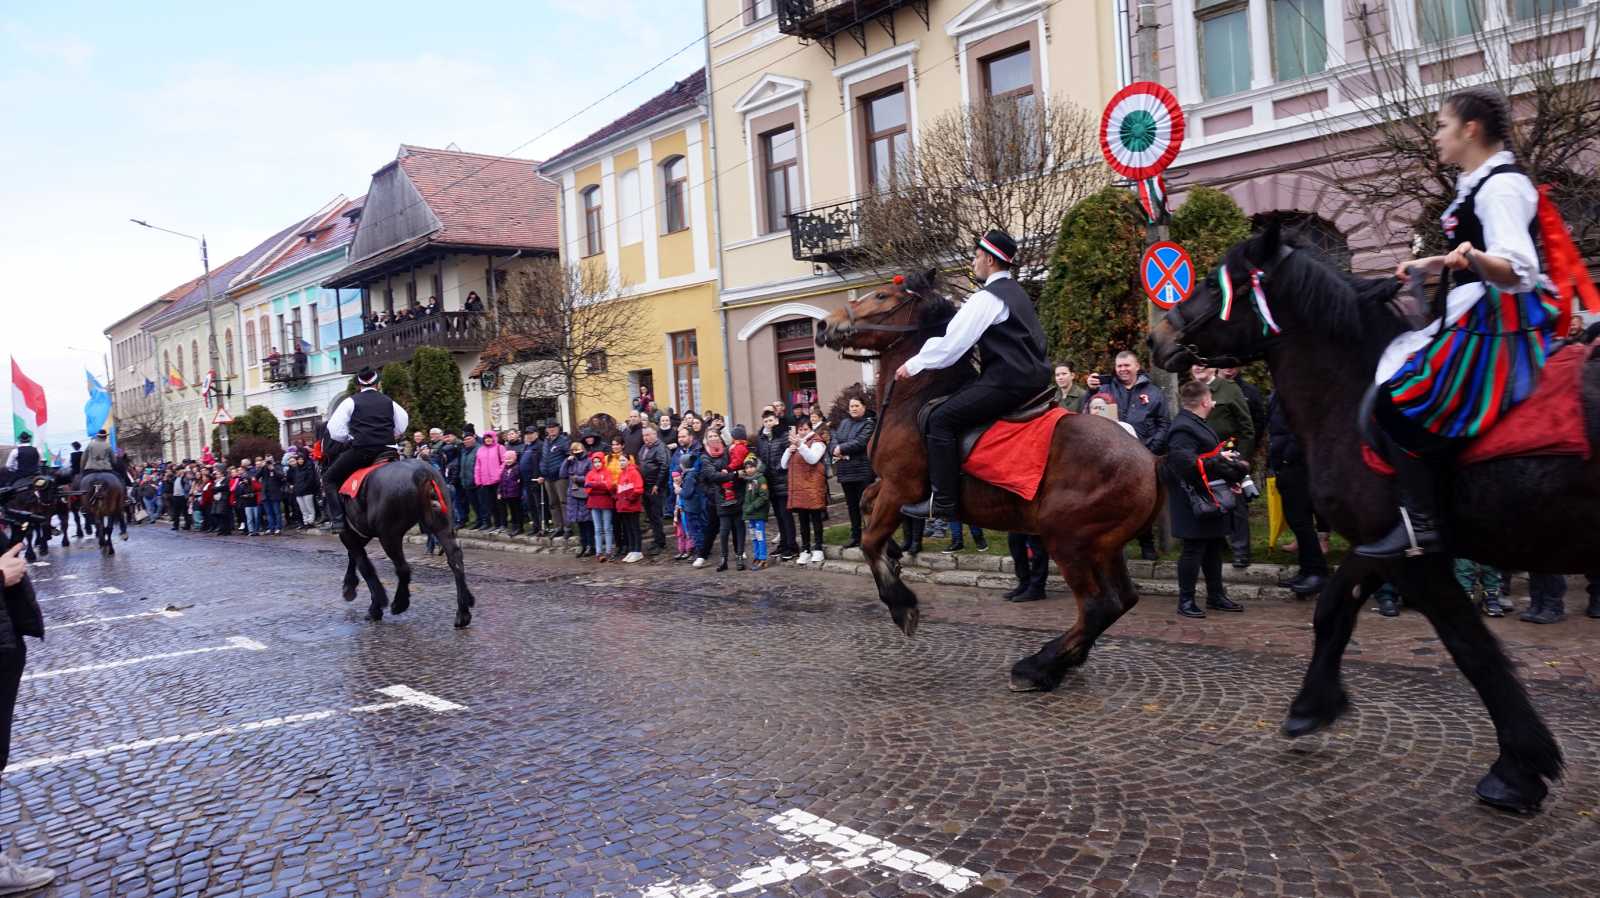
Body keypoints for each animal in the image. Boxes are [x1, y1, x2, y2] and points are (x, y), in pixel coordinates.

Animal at [320, 419, 470, 624]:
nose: (320, 468)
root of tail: (422, 474)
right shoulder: (360, 532)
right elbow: (355, 558)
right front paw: (350, 588)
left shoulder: (348, 532)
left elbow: (364, 564)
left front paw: (374, 604)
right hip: (441, 525)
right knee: (455, 559)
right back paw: (463, 611)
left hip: (389, 536)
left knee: (403, 568)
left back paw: (400, 603)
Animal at [819, 268, 1158, 688]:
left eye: (882, 296)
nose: (825, 325)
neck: (913, 399)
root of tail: (1150, 460)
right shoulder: (892, 487)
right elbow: (866, 501)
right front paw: (895, 552)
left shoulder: (901, 487)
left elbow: (868, 541)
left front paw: (903, 605)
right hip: (1105, 546)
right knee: (1121, 602)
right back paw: (1061, 661)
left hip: (1067, 539)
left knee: (1098, 605)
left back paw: (1037, 667)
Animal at [1158, 219, 1593, 813]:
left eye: (1210, 281)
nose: (1157, 337)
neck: (1353, 385)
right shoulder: (1380, 544)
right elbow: (1333, 609)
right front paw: (1311, 706)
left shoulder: (1415, 556)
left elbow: (1471, 648)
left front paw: (1519, 767)